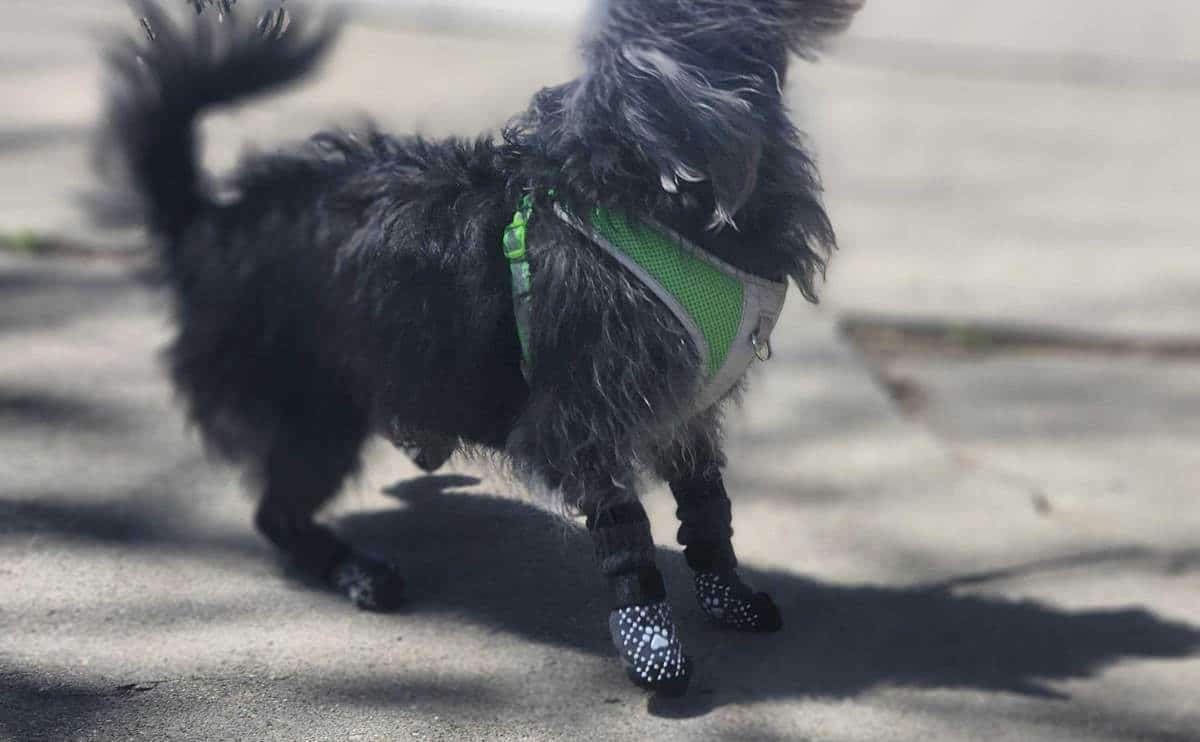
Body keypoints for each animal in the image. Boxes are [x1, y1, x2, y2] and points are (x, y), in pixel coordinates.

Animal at [98, 1, 859, 691]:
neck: (658, 193)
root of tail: (210, 223)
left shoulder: (685, 416)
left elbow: (707, 509)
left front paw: (729, 597)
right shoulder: (580, 423)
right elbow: (627, 529)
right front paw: (653, 647)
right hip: (317, 414)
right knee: (277, 514)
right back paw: (358, 573)